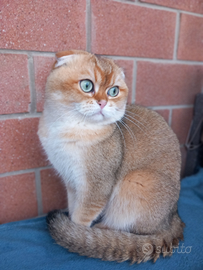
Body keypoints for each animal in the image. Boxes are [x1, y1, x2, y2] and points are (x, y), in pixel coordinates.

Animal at [37, 49, 184, 262]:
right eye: (87, 85)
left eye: (113, 91)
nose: (103, 102)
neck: (70, 128)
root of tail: (172, 217)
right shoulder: (72, 182)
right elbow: (73, 207)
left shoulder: (96, 187)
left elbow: (81, 217)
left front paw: (77, 235)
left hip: (136, 182)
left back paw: (102, 231)